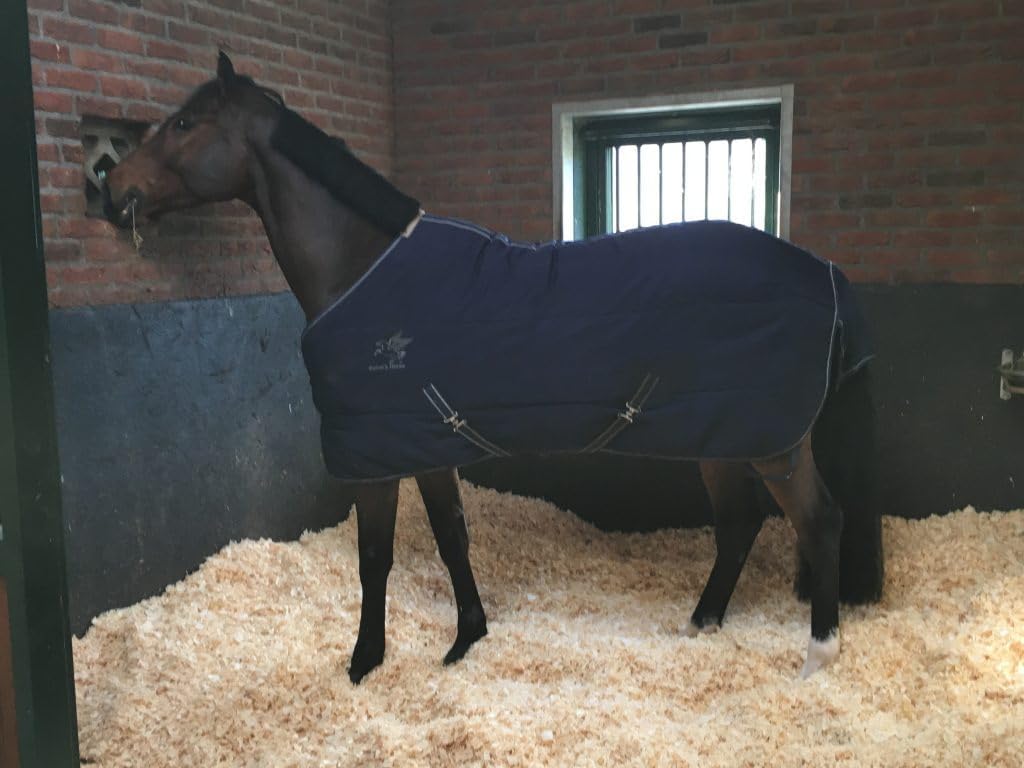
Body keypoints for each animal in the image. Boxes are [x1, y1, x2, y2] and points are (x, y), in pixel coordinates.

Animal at [103, 53, 883, 683]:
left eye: (183, 123)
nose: (112, 190)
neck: (366, 269)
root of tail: (824, 273)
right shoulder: (427, 444)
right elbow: (452, 537)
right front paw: (466, 640)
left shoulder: (375, 457)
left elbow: (374, 557)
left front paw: (364, 663)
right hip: (722, 437)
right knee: (741, 524)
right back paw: (701, 624)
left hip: (774, 443)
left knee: (819, 521)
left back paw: (817, 657)